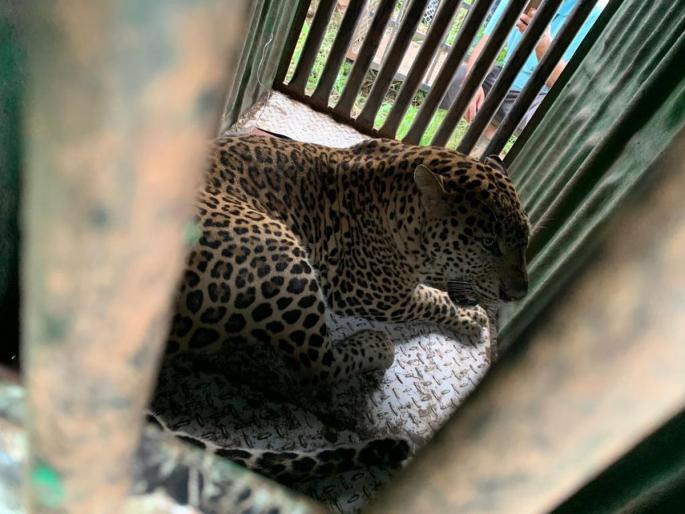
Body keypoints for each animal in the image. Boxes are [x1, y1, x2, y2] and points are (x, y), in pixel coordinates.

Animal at [155, 134, 529, 483]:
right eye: (489, 244)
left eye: (524, 241)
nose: (519, 292)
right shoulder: (370, 291)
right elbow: (429, 299)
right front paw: (469, 316)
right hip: (282, 252)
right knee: (316, 368)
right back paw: (377, 346)